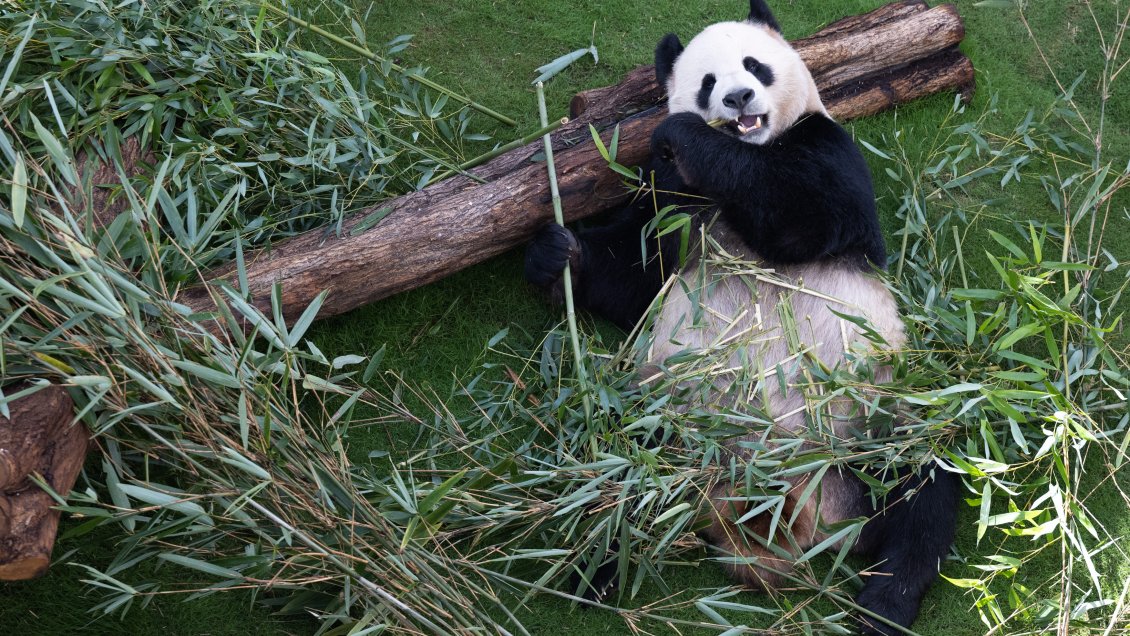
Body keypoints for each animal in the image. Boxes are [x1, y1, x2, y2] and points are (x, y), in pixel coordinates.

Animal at [524, 2, 958, 634]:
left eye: (755, 65)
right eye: (708, 81)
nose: (737, 97)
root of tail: (778, 515)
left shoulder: (829, 151)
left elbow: (803, 214)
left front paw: (682, 135)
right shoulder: (667, 199)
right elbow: (634, 269)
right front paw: (557, 254)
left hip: (874, 416)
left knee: (924, 483)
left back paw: (886, 602)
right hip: (663, 420)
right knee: (619, 476)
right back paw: (593, 563)